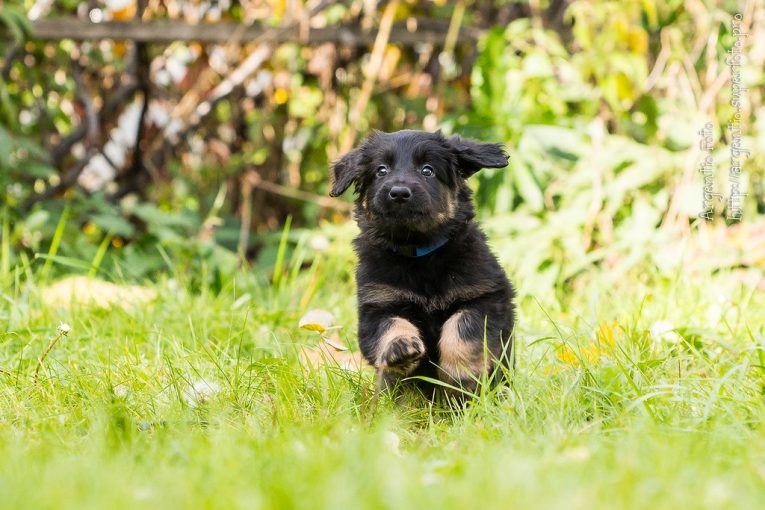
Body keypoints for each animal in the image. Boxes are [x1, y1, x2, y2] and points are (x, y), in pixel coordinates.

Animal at [328, 130, 512, 394]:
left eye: (428, 170)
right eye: (381, 170)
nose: (399, 193)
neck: (420, 255)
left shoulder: (487, 297)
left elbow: (464, 328)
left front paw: (461, 374)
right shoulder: (376, 305)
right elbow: (390, 325)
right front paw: (399, 348)